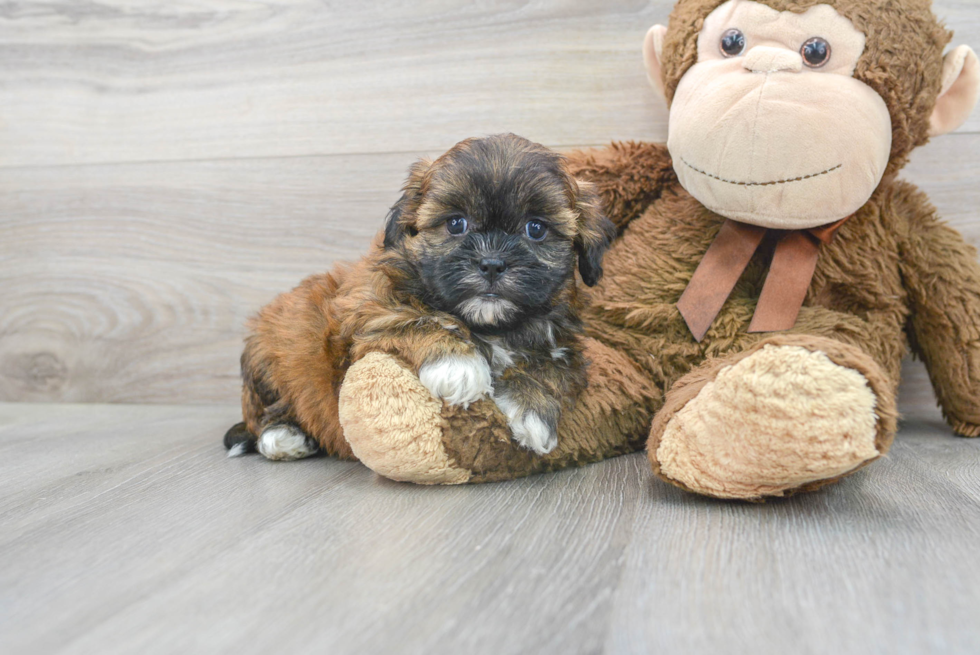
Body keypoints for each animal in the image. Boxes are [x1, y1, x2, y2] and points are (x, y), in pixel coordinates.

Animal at [226, 133, 616, 462]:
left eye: (536, 228)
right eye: (456, 223)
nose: (491, 263)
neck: (491, 326)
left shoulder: (563, 341)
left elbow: (555, 366)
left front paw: (533, 410)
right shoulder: (368, 312)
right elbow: (416, 318)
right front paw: (458, 365)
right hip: (272, 358)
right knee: (266, 415)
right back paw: (284, 436)